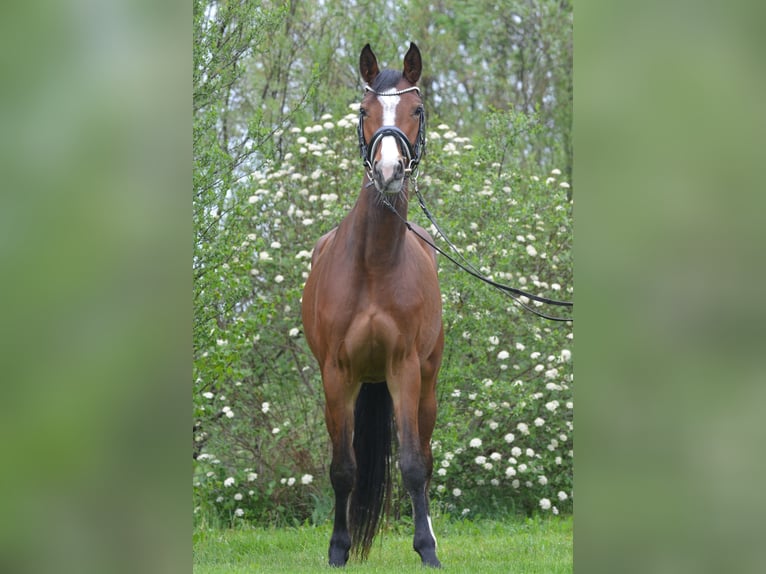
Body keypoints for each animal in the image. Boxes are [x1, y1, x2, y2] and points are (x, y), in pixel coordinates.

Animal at [301, 42, 443, 568]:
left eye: (416, 109)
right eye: (364, 111)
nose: (388, 172)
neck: (374, 265)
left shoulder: (405, 368)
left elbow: (413, 465)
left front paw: (427, 550)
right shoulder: (336, 373)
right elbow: (344, 468)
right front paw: (338, 549)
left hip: (427, 385)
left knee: (425, 455)